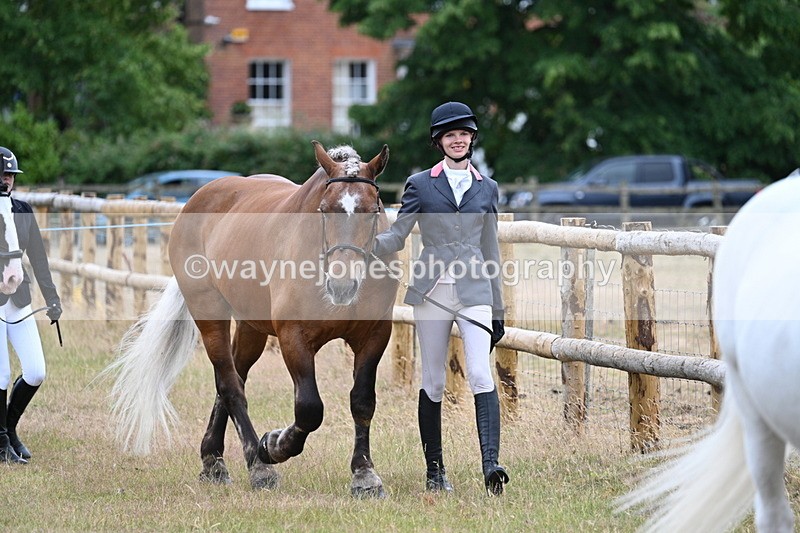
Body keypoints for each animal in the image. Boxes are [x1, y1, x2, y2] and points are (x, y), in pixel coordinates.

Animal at [106, 141, 398, 496]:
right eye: (325, 209)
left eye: (373, 210)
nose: (342, 285)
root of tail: (199, 199)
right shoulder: (293, 338)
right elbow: (309, 409)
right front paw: (273, 445)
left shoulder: (375, 336)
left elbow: (362, 401)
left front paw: (364, 475)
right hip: (210, 313)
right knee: (230, 384)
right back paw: (258, 467)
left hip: (250, 328)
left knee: (235, 376)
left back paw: (213, 460)